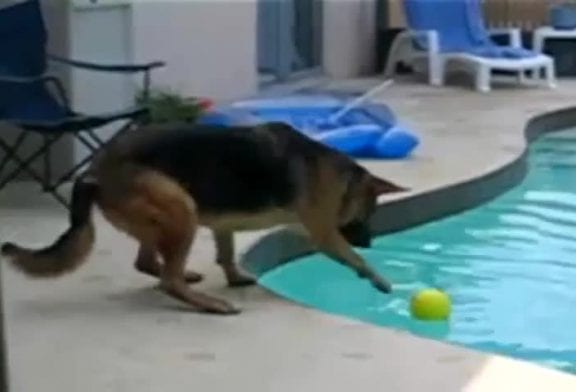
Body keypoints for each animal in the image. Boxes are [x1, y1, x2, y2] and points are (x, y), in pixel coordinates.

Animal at [0, 121, 408, 314]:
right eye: (368, 213)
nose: (371, 241)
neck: (340, 174)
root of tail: (94, 171)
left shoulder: (224, 226)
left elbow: (225, 253)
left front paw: (233, 276)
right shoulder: (323, 231)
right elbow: (349, 255)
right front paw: (377, 277)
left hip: (166, 215)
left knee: (148, 263)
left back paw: (184, 276)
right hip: (182, 207)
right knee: (167, 280)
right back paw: (207, 302)